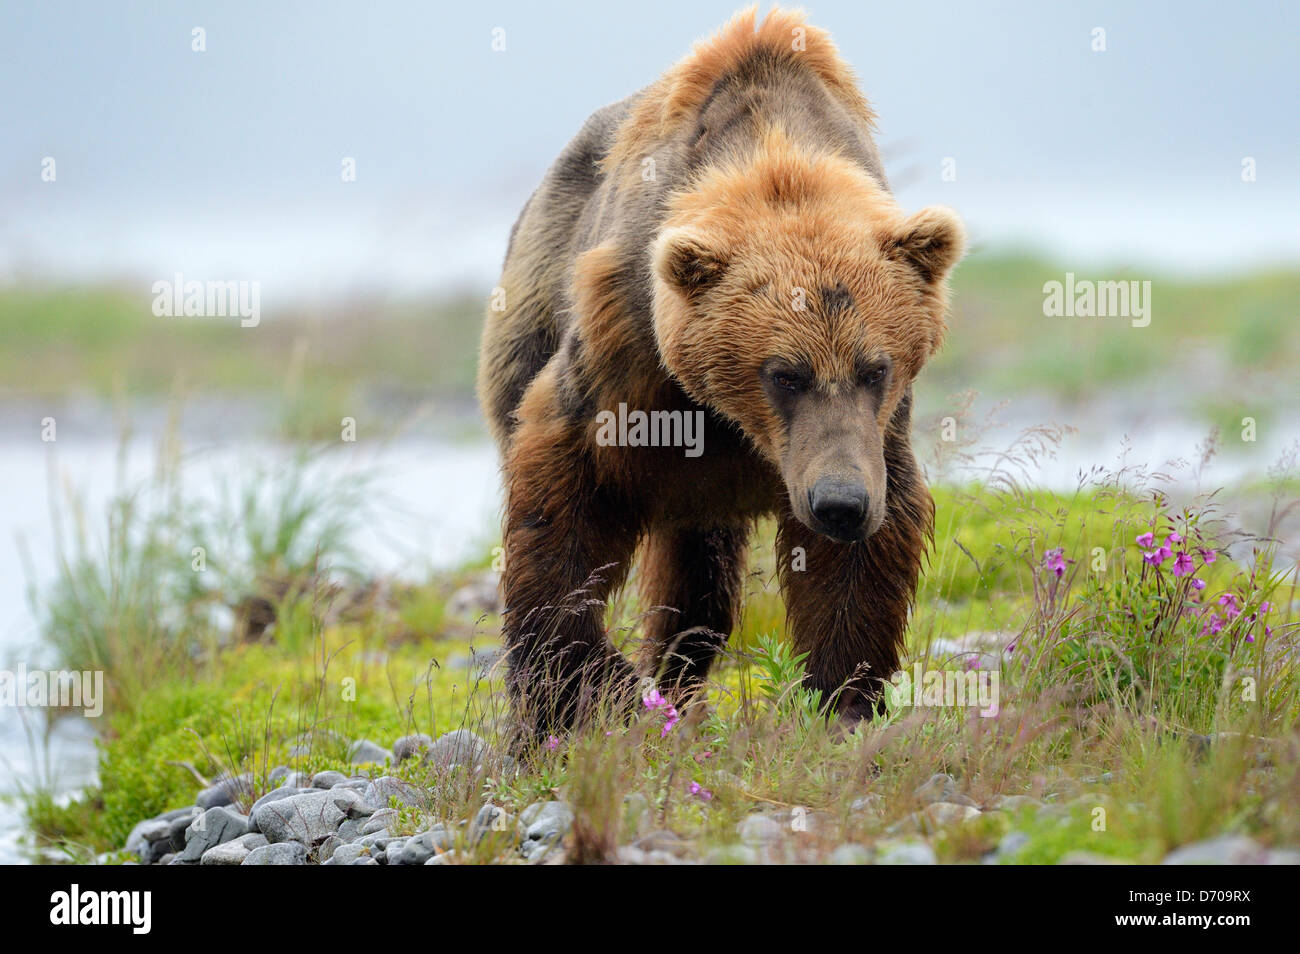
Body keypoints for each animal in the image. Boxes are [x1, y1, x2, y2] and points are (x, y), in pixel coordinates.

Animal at [478, 9, 967, 738]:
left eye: (875, 368)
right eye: (784, 373)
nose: (840, 503)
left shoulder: (872, 435)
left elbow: (858, 568)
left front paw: (843, 698)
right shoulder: (627, 345)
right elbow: (563, 498)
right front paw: (595, 689)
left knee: (697, 588)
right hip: (533, 302)